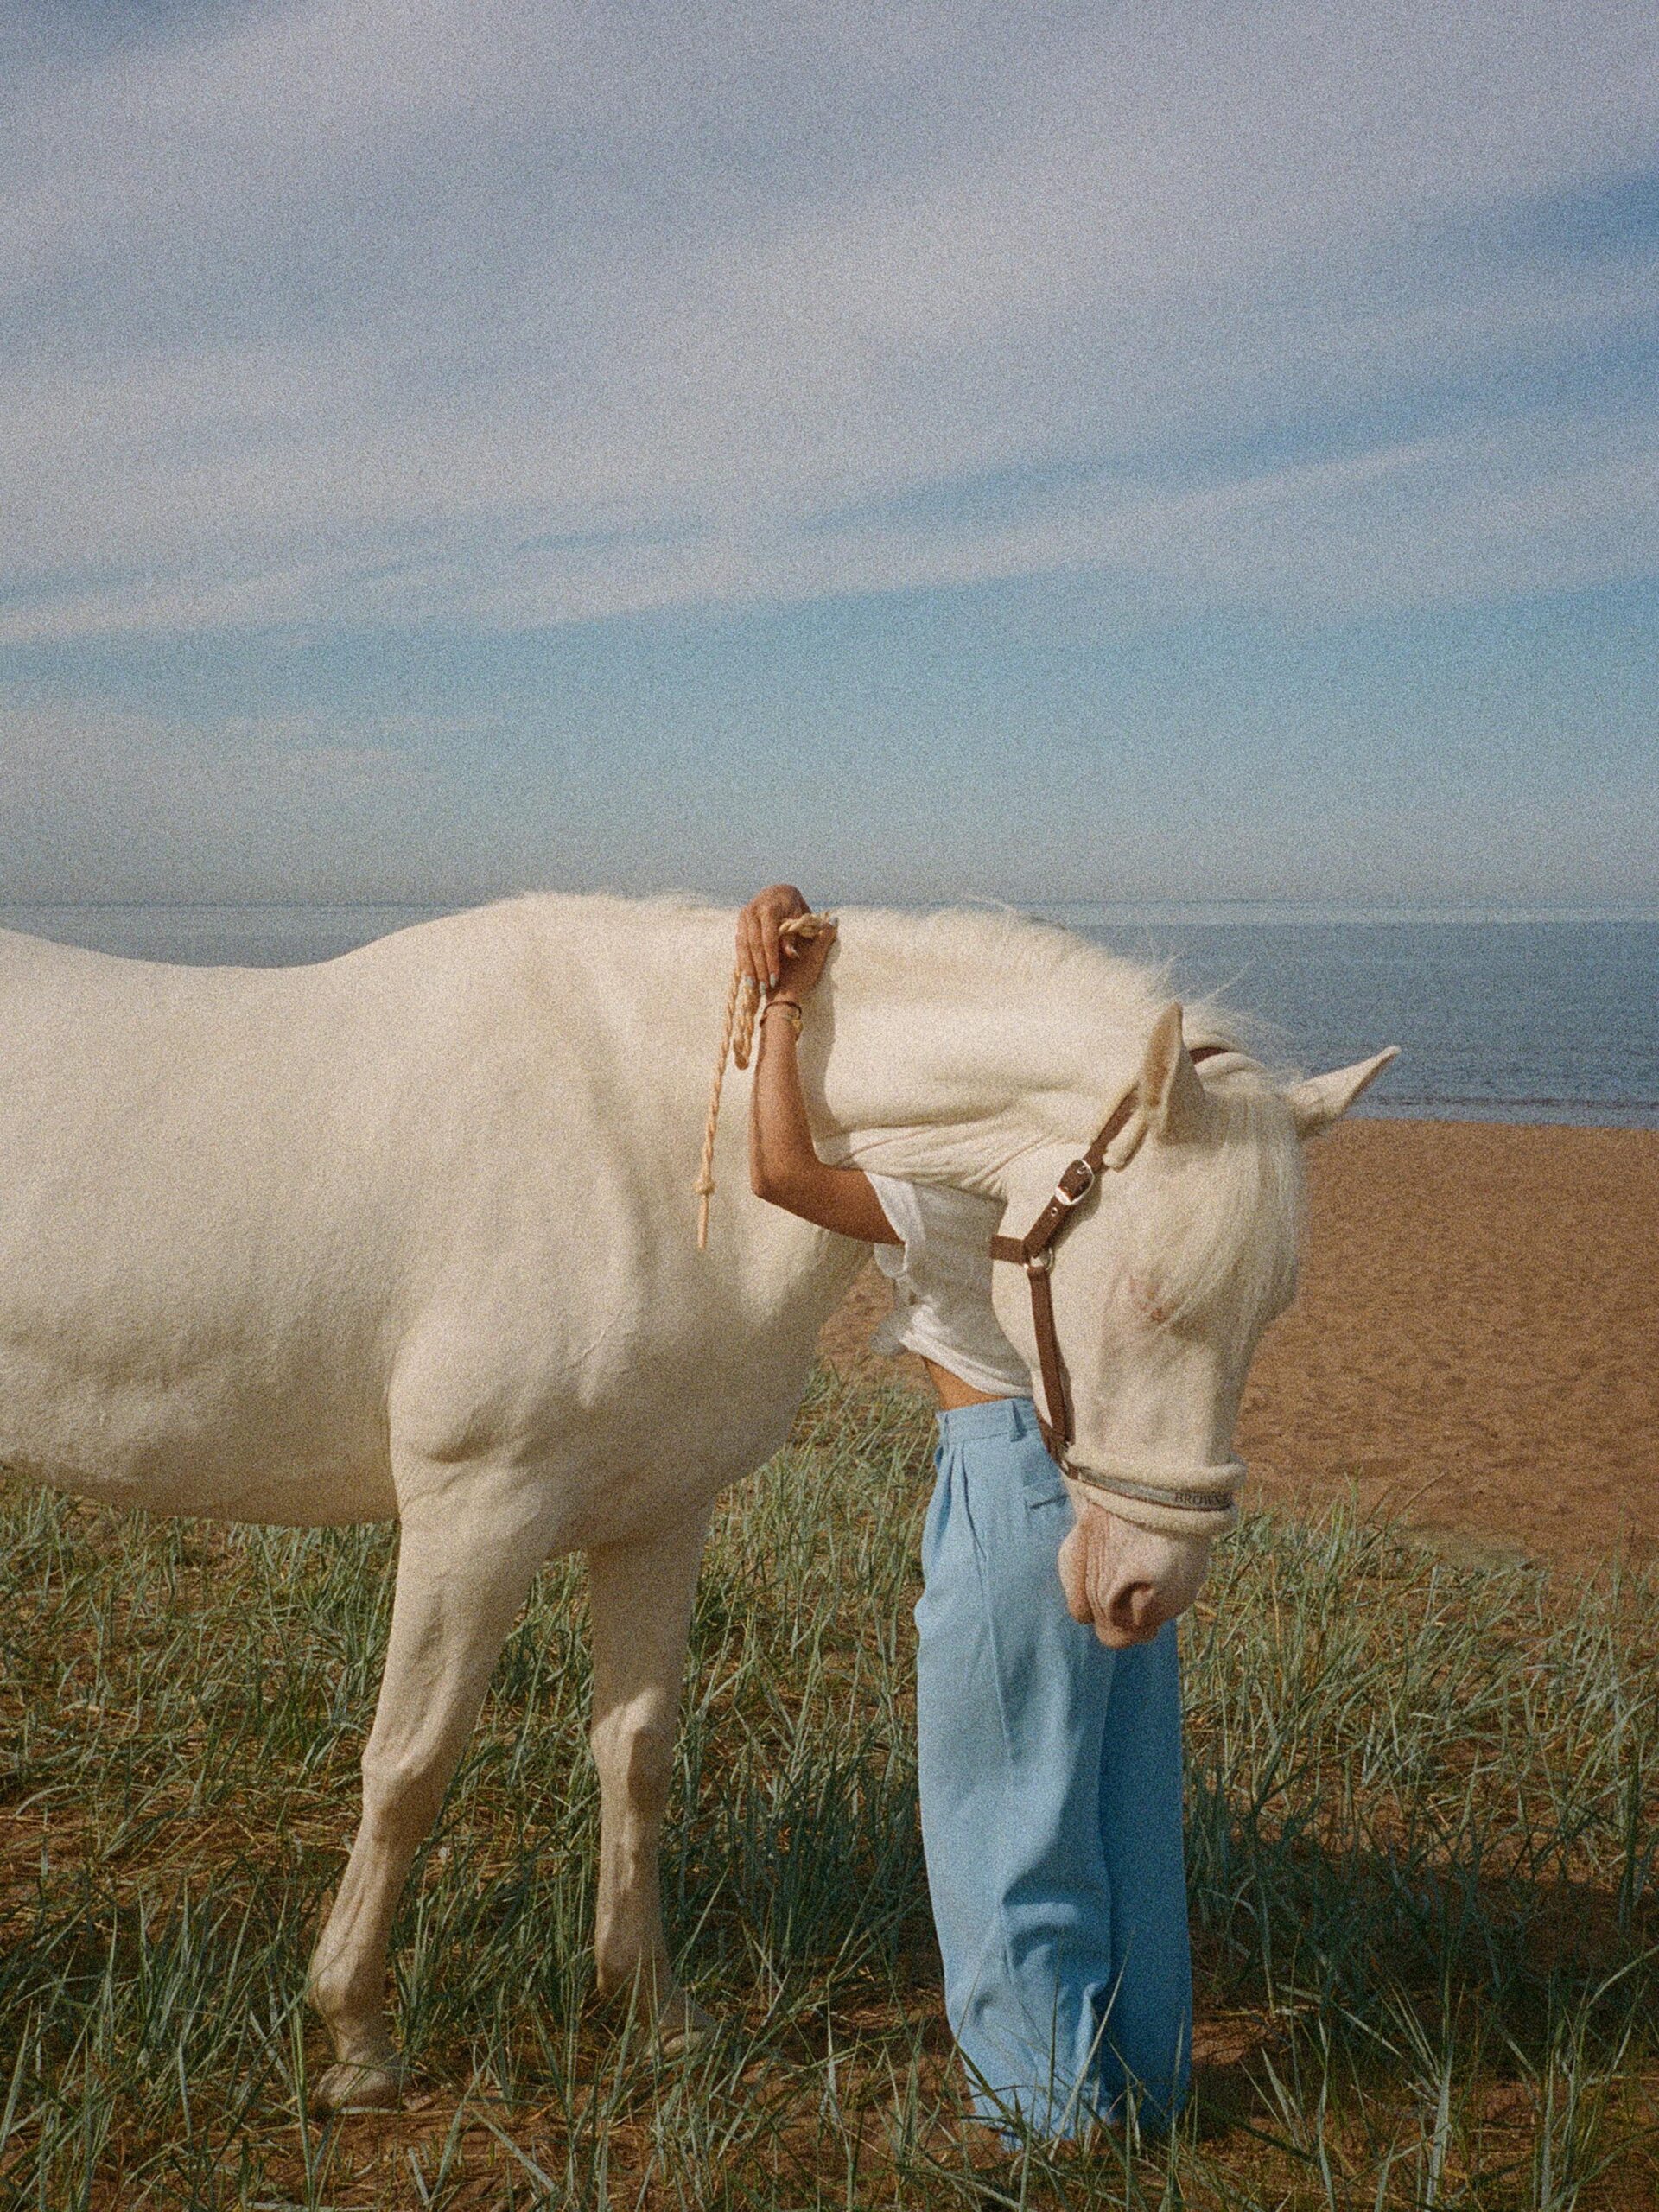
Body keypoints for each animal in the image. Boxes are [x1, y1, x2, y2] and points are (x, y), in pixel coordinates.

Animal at [0, 893, 1407, 2106]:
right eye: (1152, 1296)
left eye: (1270, 1311)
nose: (1147, 1585)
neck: (650, 1127)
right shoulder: (474, 1512)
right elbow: (408, 1765)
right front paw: (357, 2035)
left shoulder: (658, 1514)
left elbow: (636, 1753)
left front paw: (653, 2010)